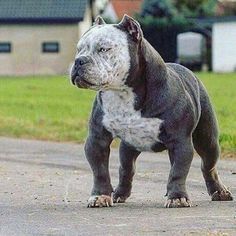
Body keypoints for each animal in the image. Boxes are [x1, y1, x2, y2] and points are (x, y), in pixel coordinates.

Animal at [69, 14, 232, 207]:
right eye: (79, 49)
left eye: (103, 49)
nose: (79, 60)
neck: (123, 93)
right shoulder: (97, 140)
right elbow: (100, 171)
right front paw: (100, 196)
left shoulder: (180, 142)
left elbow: (178, 171)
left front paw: (177, 197)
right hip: (129, 147)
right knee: (126, 169)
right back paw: (119, 193)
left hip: (208, 140)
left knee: (208, 165)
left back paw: (219, 191)